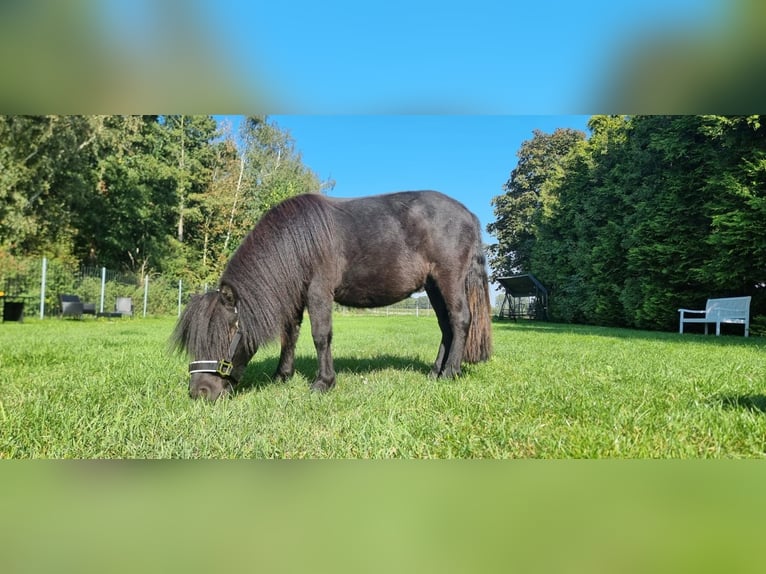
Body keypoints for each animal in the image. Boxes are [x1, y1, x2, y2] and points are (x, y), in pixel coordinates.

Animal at [172, 190, 492, 400]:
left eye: (227, 334)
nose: (200, 392)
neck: (297, 241)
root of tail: (468, 214)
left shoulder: (318, 292)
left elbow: (320, 336)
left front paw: (323, 383)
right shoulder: (297, 297)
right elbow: (290, 335)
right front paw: (282, 376)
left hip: (449, 279)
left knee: (460, 320)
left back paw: (450, 373)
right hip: (433, 285)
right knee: (446, 326)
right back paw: (435, 371)